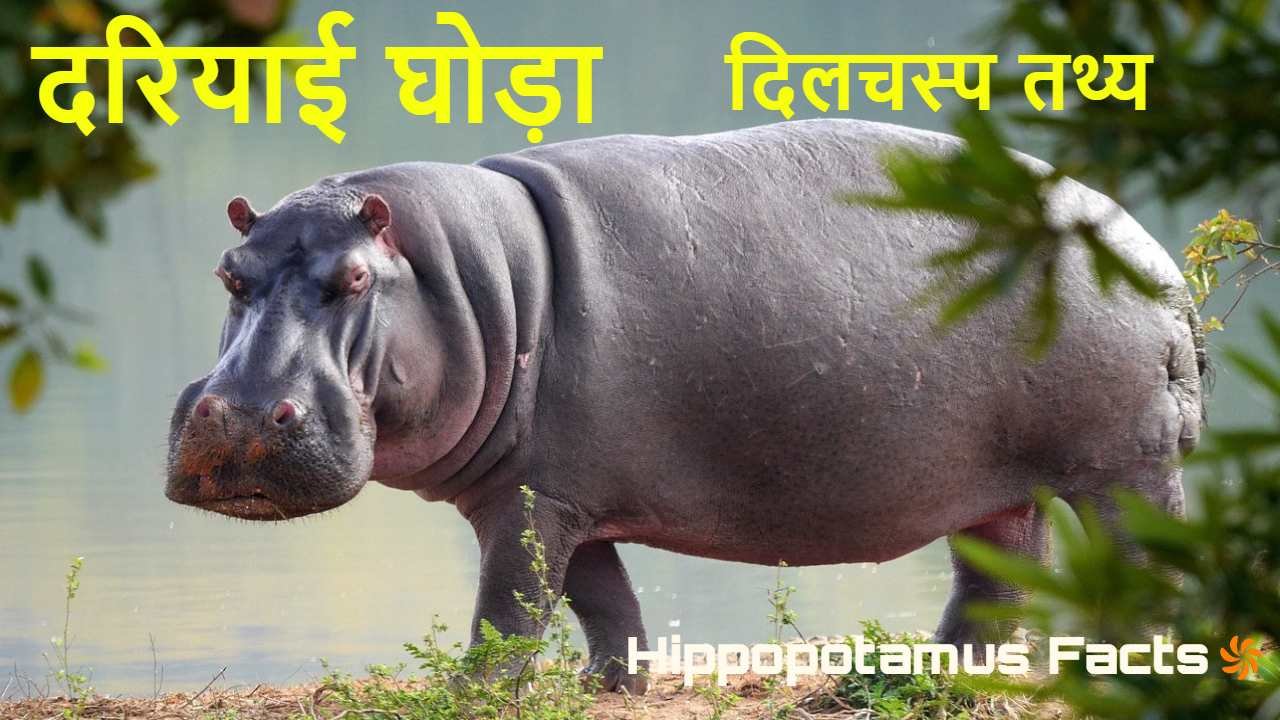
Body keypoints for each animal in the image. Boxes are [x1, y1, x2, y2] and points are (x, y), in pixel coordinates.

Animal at [165, 119, 1204, 692]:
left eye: (351, 279)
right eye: (228, 272)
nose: (242, 417)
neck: (465, 278)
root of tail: (1154, 255)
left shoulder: (533, 502)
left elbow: (508, 609)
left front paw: (471, 692)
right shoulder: (556, 492)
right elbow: (600, 600)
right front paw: (610, 687)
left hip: (1124, 468)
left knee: (1144, 567)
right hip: (997, 487)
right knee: (995, 584)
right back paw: (900, 680)